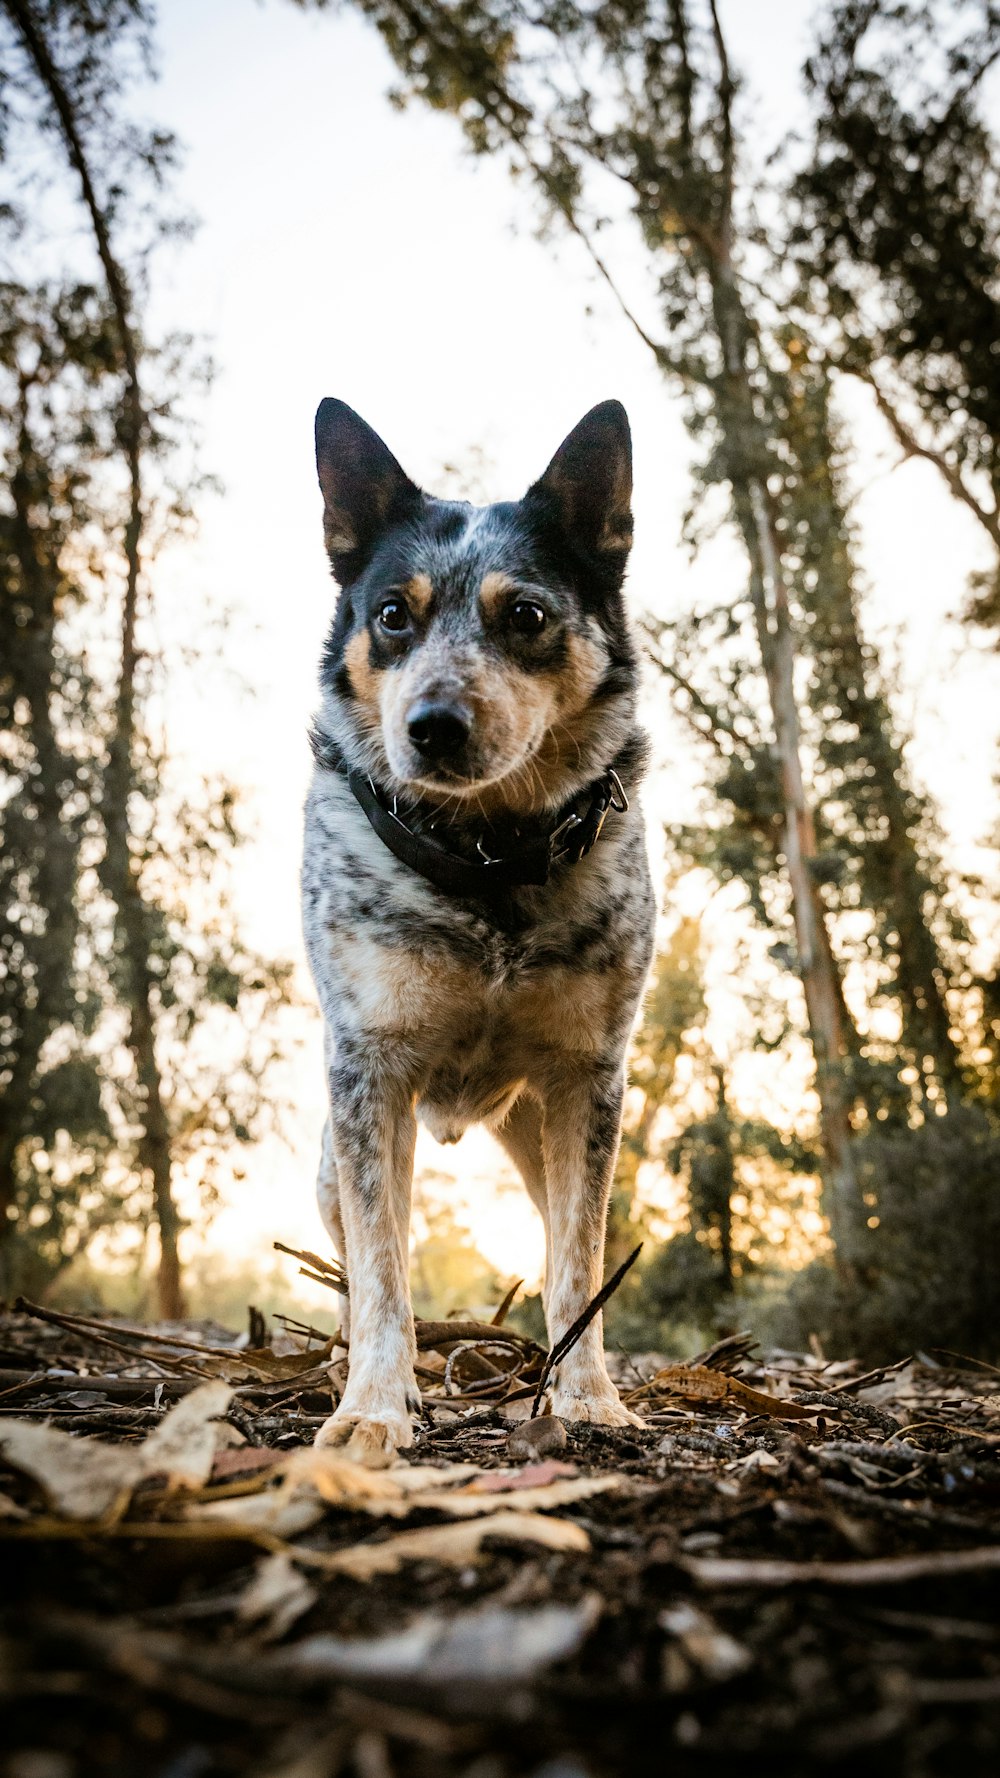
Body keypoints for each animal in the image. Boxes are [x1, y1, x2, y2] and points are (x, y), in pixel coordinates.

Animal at [298, 396, 651, 1465]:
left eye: (524, 615)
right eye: (392, 614)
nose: (433, 726)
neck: (487, 862)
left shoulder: (587, 1081)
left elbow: (577, 1266)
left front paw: (589, 1398)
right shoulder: (370, 1076)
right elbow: (383, 1276)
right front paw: (373, 1408)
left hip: (541, 1136)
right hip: (334, 1164)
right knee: (357, 1268)